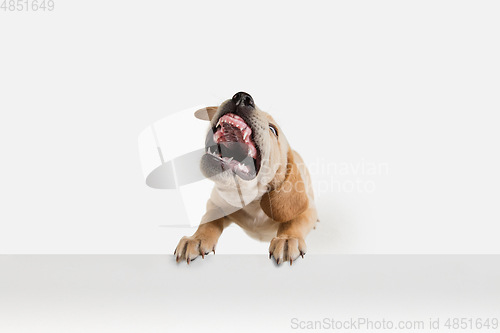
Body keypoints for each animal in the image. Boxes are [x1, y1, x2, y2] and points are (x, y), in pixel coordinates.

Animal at [174, 91, 318, 264]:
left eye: (273, 129)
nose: (243, 97)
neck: (251, 200)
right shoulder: (215, 203)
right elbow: (208, 220)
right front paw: (196, 238)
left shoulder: (307, 209)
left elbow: (296, 221)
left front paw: (287, 238)